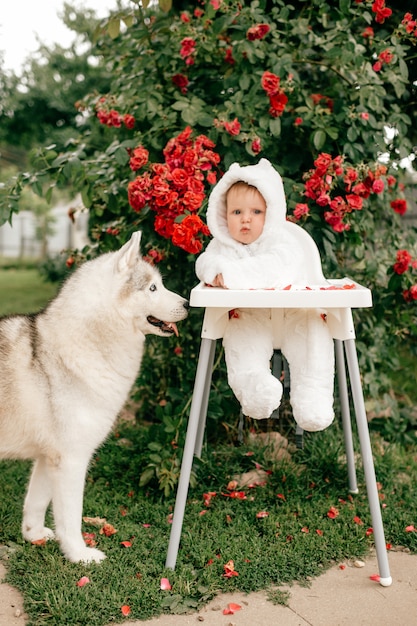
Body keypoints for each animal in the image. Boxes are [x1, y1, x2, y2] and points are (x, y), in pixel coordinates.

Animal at [0, 229, 187, 560]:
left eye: (160, 284)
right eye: (152, 287)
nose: (189, 303)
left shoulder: (49, 457)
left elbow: (35, 503)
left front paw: (33, 535)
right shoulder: (72, 459)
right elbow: (71, 517)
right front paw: (79, 555)